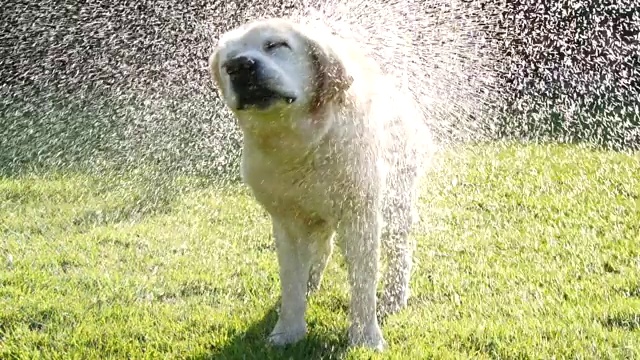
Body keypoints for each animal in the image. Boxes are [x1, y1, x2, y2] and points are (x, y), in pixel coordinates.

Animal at [210, 17, 436, 352]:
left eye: (275, 45)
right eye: (227, 62)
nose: (239, 66)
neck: (301, 145)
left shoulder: (360, 216)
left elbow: (363, 282)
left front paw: (365, 338)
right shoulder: (287, 220)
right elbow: (291, 280)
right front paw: (287, 332)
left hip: (397, 201)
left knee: (399, 251)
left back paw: (395, 297)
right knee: (321, 248)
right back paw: (311, 282)